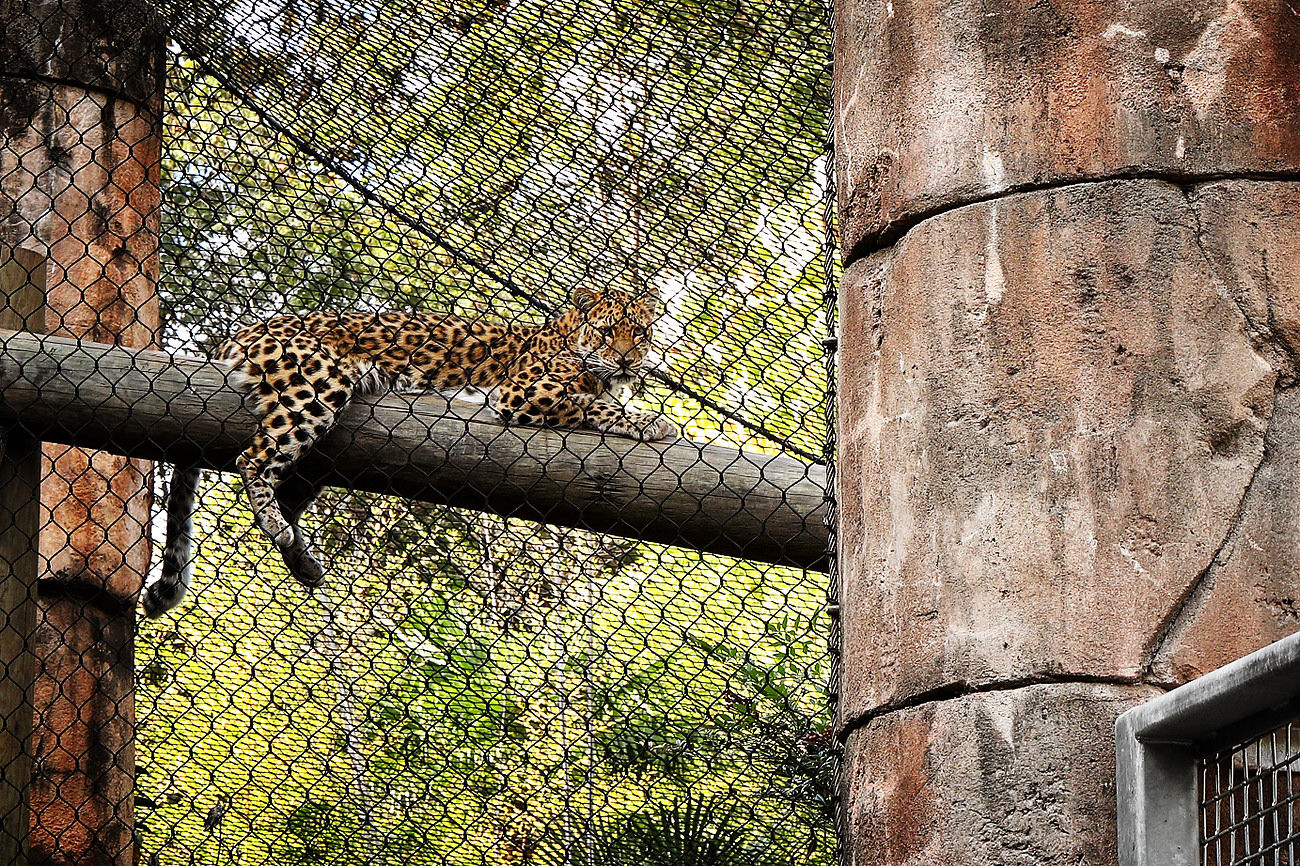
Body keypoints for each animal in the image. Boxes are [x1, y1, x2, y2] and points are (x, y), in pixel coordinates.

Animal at [141, 286, 675, 617]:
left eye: (640, 333)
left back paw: (303, 560)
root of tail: (248, 329)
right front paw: (651, 422)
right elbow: (593, 405)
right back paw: (279, 527)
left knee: (289, 488)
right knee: (253, 458)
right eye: (606, 332)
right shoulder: (521, 394)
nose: (627, 360)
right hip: (317, 387)